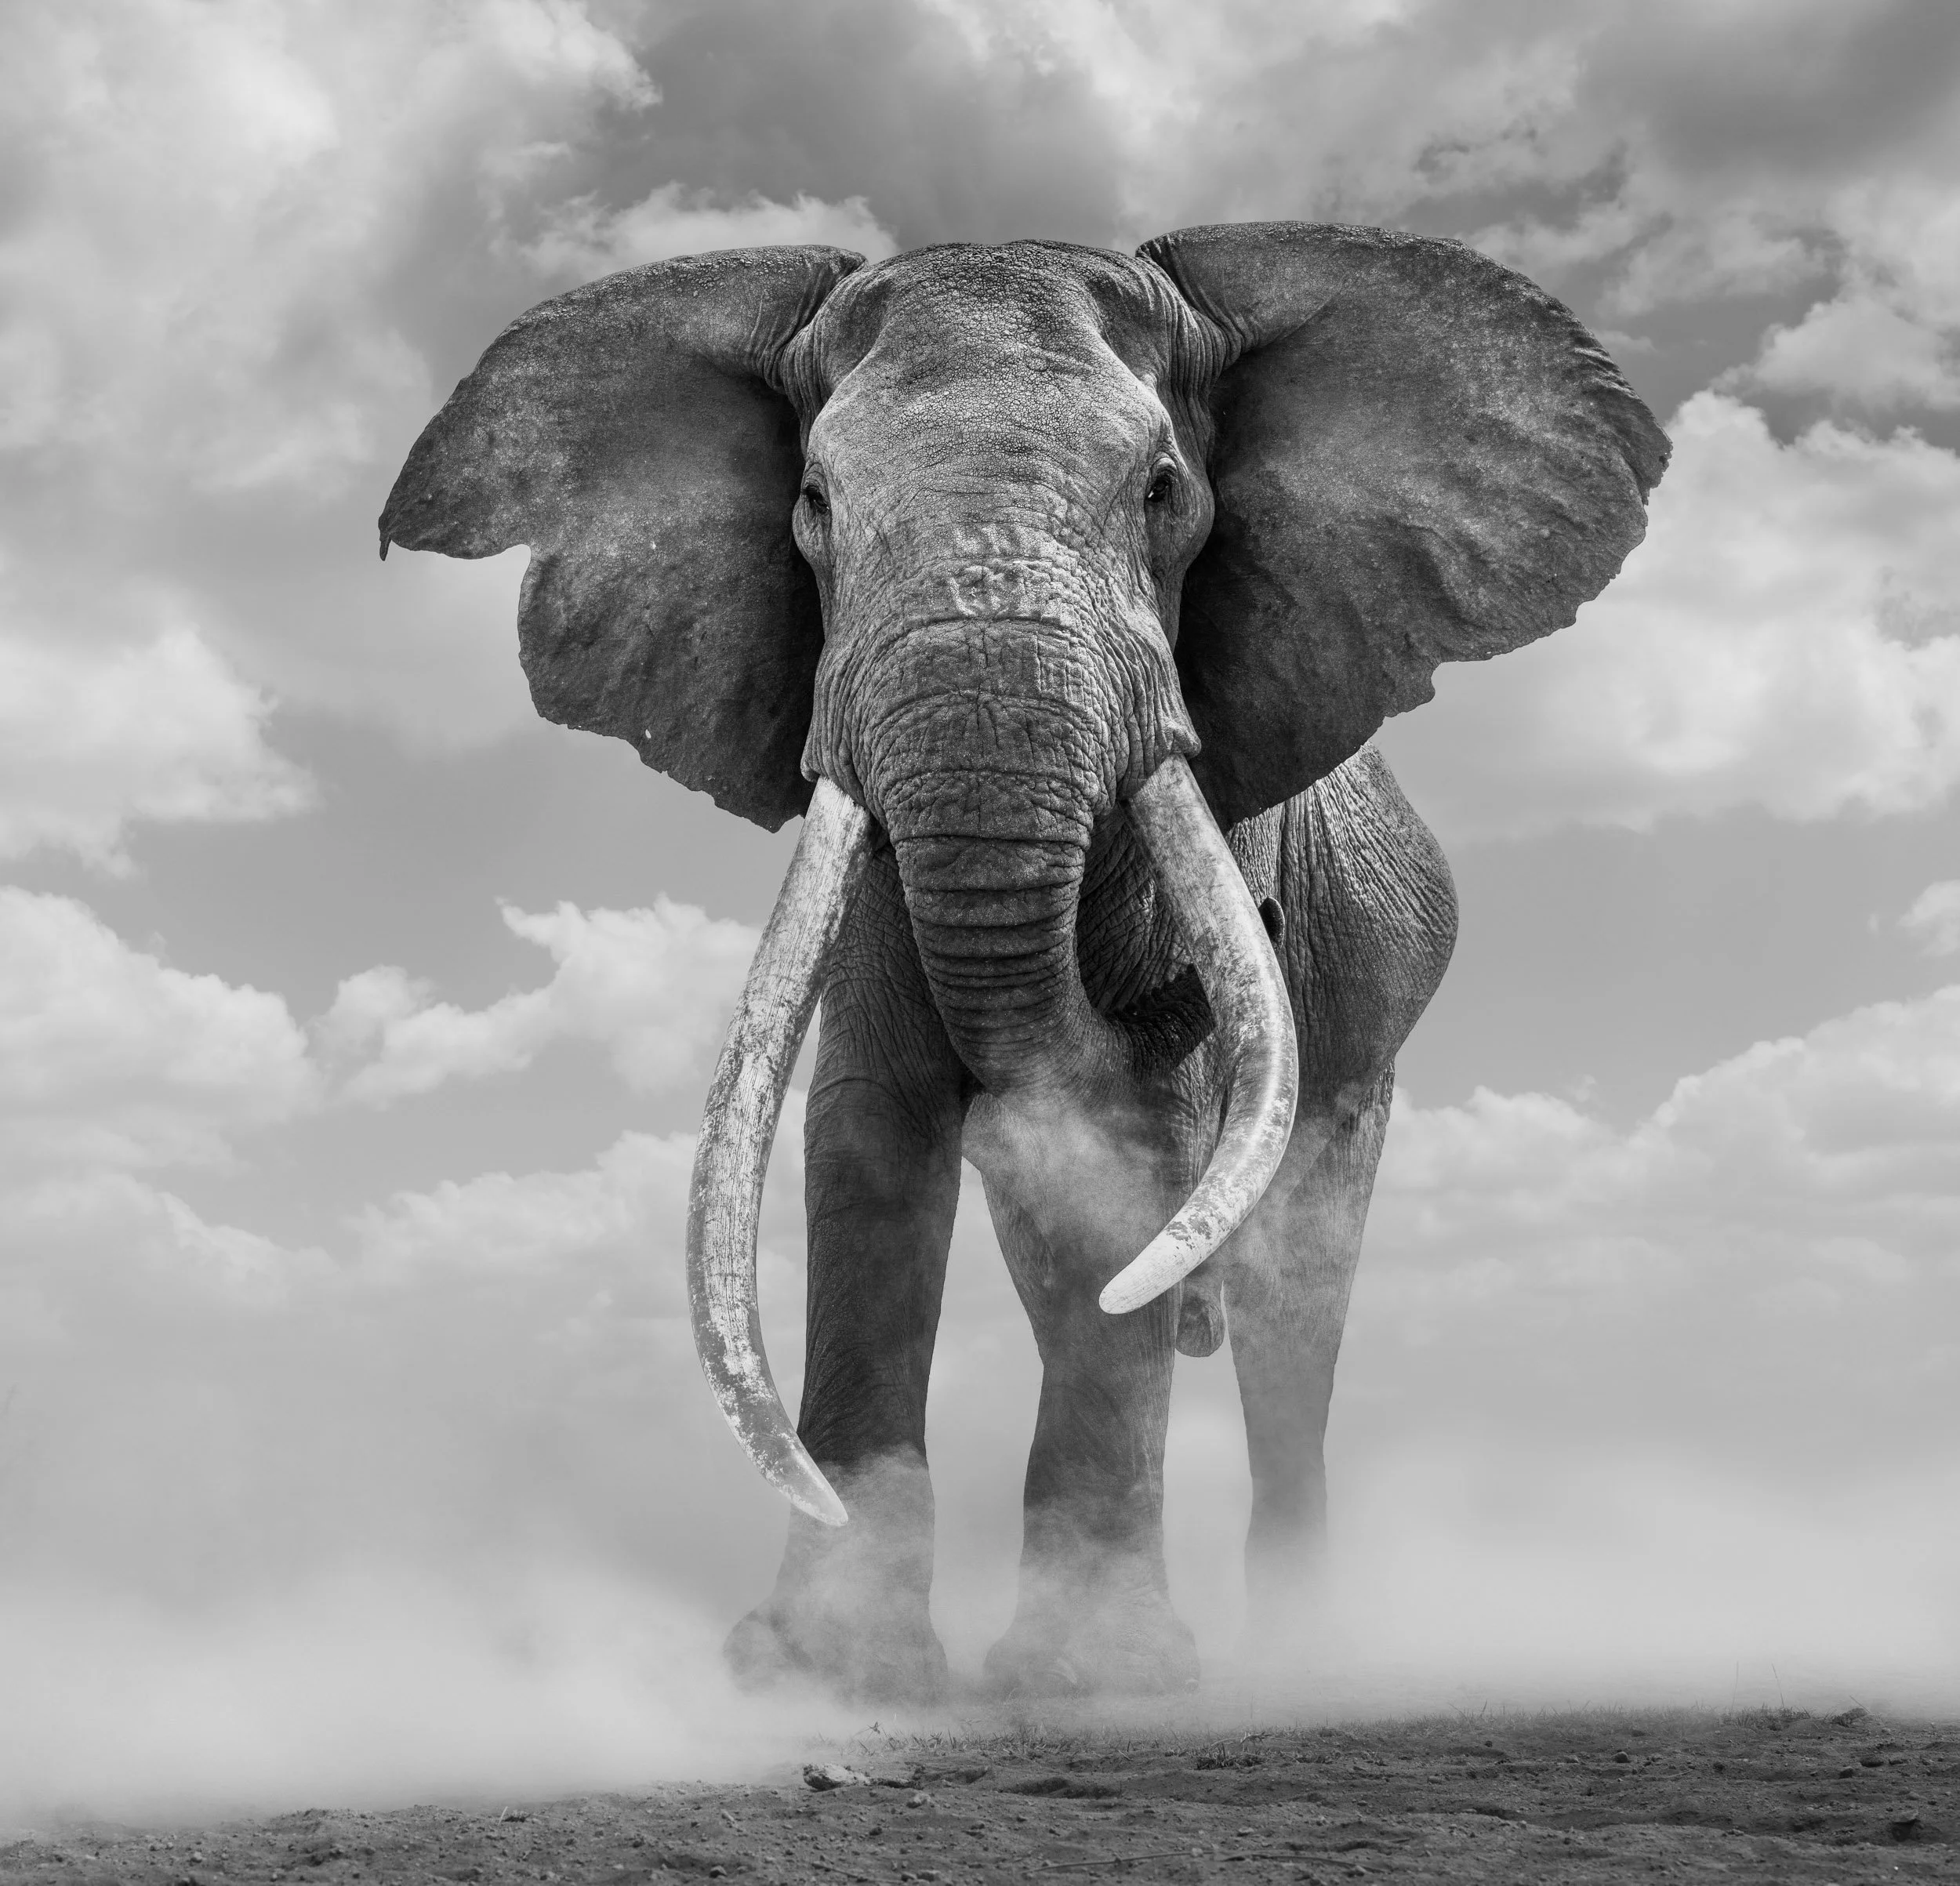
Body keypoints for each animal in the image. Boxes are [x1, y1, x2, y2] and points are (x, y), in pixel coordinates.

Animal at [380, 224, 1667, 1702]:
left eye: (1164, 489)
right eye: (813, 502)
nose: (1250, 931)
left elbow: (1129, 1154)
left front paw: (1093, 1677)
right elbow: (867, 1139)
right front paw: (825, 1667)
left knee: (1294, 1298)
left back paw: (1298, 1657)